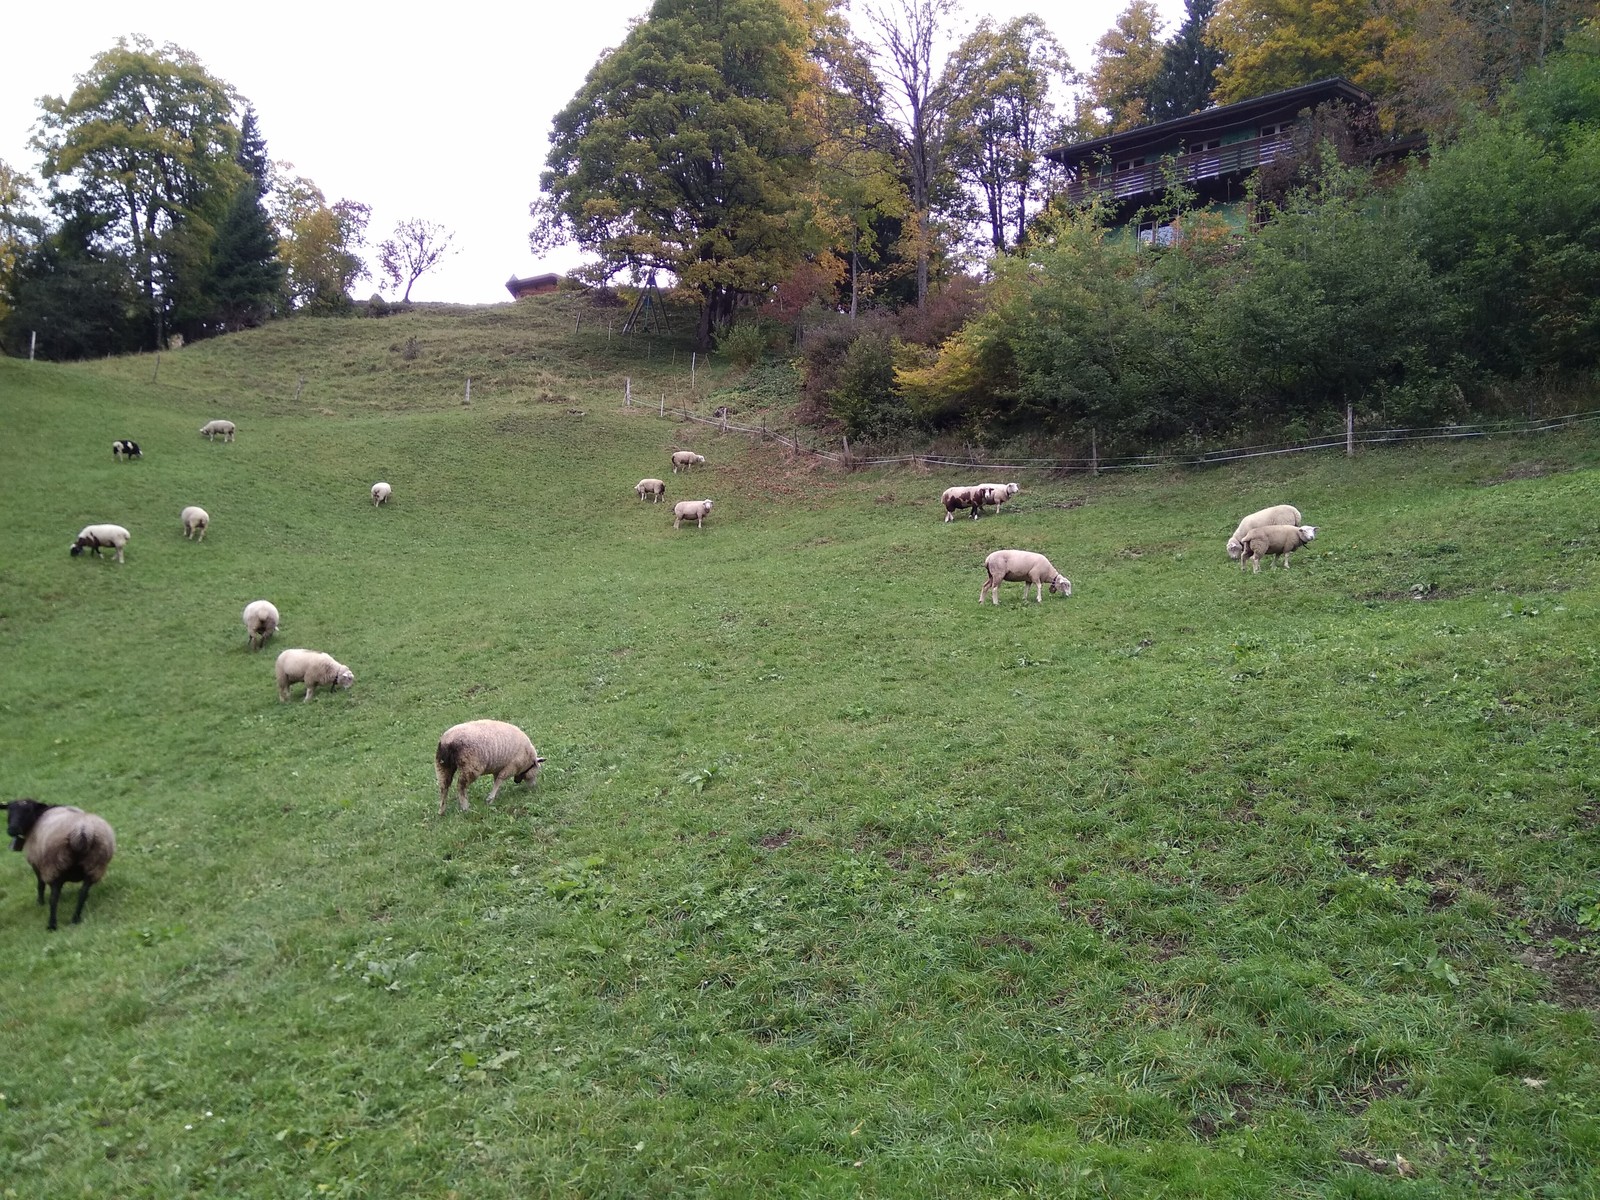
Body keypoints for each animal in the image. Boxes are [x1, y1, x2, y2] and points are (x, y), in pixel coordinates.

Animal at [2, 803, 116, 934]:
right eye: (9, 810)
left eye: (27, 810)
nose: (12, 830)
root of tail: (82, 830)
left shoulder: (37, 864)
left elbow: (40, 885)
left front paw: (40, 902)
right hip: (94, 865)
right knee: (83, 893)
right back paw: (75, 919)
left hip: (55, 866)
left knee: (54, 897)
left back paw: (52, 925)